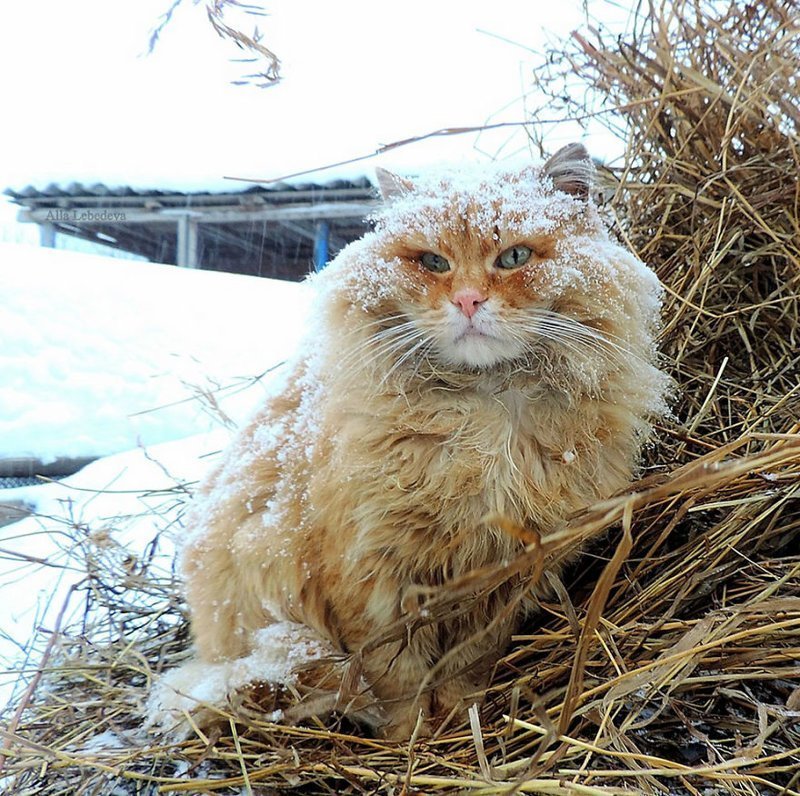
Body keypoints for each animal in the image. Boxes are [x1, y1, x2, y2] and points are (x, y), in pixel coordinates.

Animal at [172, 145, 672, 740]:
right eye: (433, 263)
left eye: (514, 257)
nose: (469, 301)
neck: (486, 413)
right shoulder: (374, 579)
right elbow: (399, 680)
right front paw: (410, 737)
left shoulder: (502, 582)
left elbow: (463, 666)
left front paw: (456, 722)